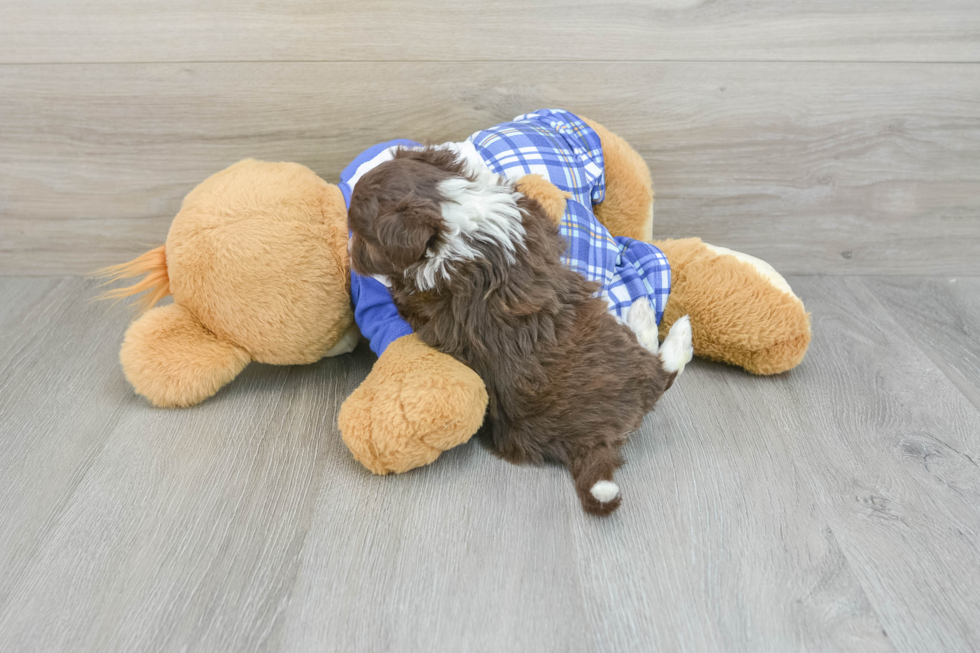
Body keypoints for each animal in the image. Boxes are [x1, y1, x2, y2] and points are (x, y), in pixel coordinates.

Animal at [348, 146, 692, 516]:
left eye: (359, 233)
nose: (352, 259)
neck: (446, 218)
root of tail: (585, 442)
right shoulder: (532, 220)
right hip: (620, 351)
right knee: (663, 372)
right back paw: (658, 324)